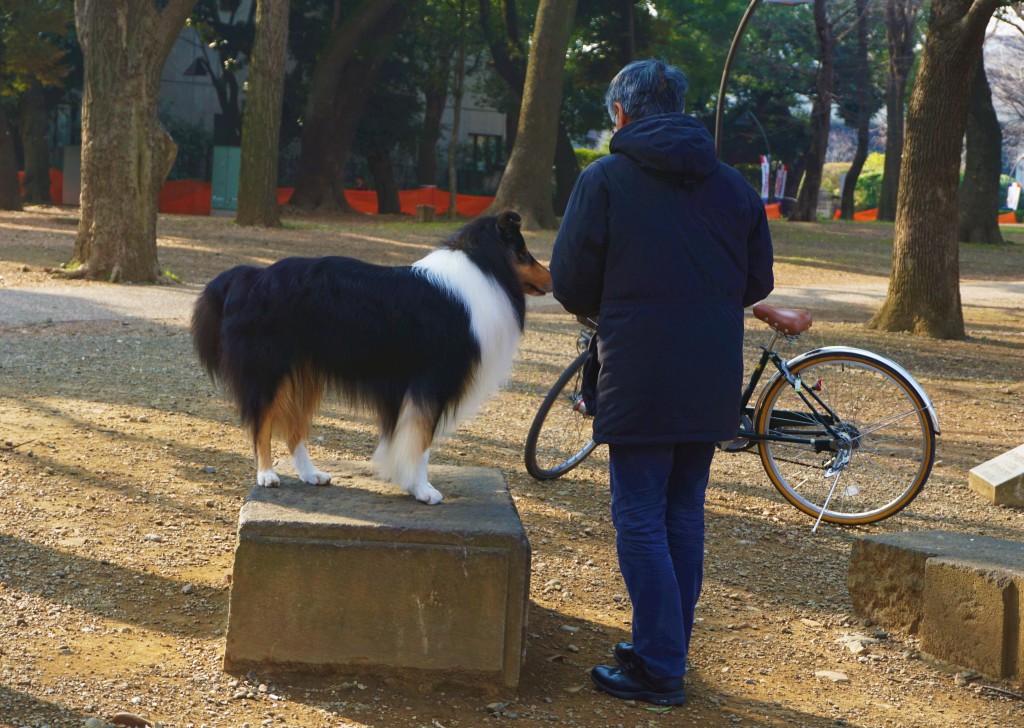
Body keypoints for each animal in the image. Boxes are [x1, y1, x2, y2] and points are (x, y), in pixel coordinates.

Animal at [187, 210, 548, 503]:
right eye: (523, 252)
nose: (552, 277)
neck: (483, 268)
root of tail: (251, 276)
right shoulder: (430, 385)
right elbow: (422, 443)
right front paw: (422, 490)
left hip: (303, 375)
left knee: (294, 427)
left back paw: (310, 474)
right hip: (269, 372)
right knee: (262, 422)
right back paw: (266, 474)